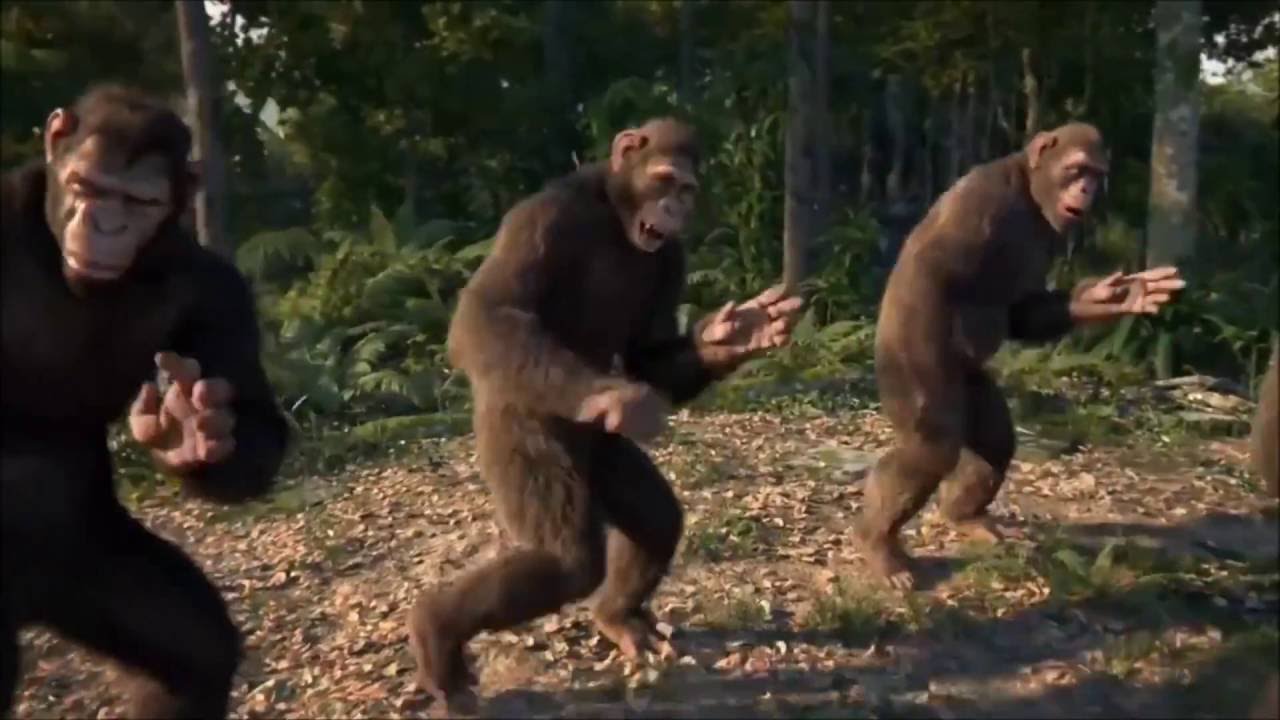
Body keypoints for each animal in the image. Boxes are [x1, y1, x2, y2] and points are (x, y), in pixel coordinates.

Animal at [1, 85, 289, 718]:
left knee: (196, 653)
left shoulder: (217, 290)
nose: (105, 224)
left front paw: (192, 432)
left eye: (138, 200)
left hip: (85, 562)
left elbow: (256, 416)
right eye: (88, 186)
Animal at [405, 117, 804, 706]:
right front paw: (618, 398)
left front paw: (736, 335)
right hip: (519, 436)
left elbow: (647, 356)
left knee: (656, 519)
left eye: (688, 190)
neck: (616, 213)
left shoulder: (672, 254)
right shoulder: (541, 217)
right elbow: (492, 309)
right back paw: (436, 635)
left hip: (605, 454)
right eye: (665, 178)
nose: (676, 207)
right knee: (569, 560)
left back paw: (616, 616)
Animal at [855, 122, 1187, 590]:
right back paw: (879, 543)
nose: (1086, 188)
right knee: (932, 446)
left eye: (1096, 173)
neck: (1031, 193)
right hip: (912, 362)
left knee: (994, 440)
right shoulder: (983, 197)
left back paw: (965, 516)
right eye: (1077, 169)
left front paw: (1111, 297)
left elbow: (1024, 310)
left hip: (971, 381)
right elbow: (934, 268)